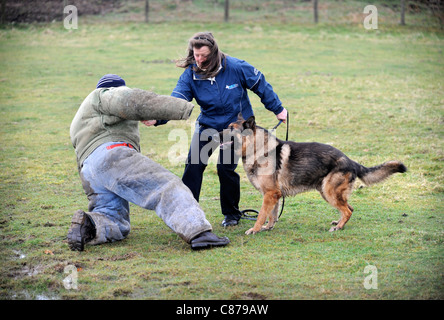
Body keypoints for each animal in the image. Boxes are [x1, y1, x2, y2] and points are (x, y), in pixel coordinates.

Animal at [220, 115, 408, 235]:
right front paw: (268, 227)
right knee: (349, 208)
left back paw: (338, 227)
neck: (257, 148)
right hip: (327, 192)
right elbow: (271, 214)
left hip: (329, 192)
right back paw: (338, 222)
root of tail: (351, 161)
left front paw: (255, 229)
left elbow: (261, 215)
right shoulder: (273, 195)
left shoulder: (270, 194)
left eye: (230, 129)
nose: (215, 133)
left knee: (348, 210)